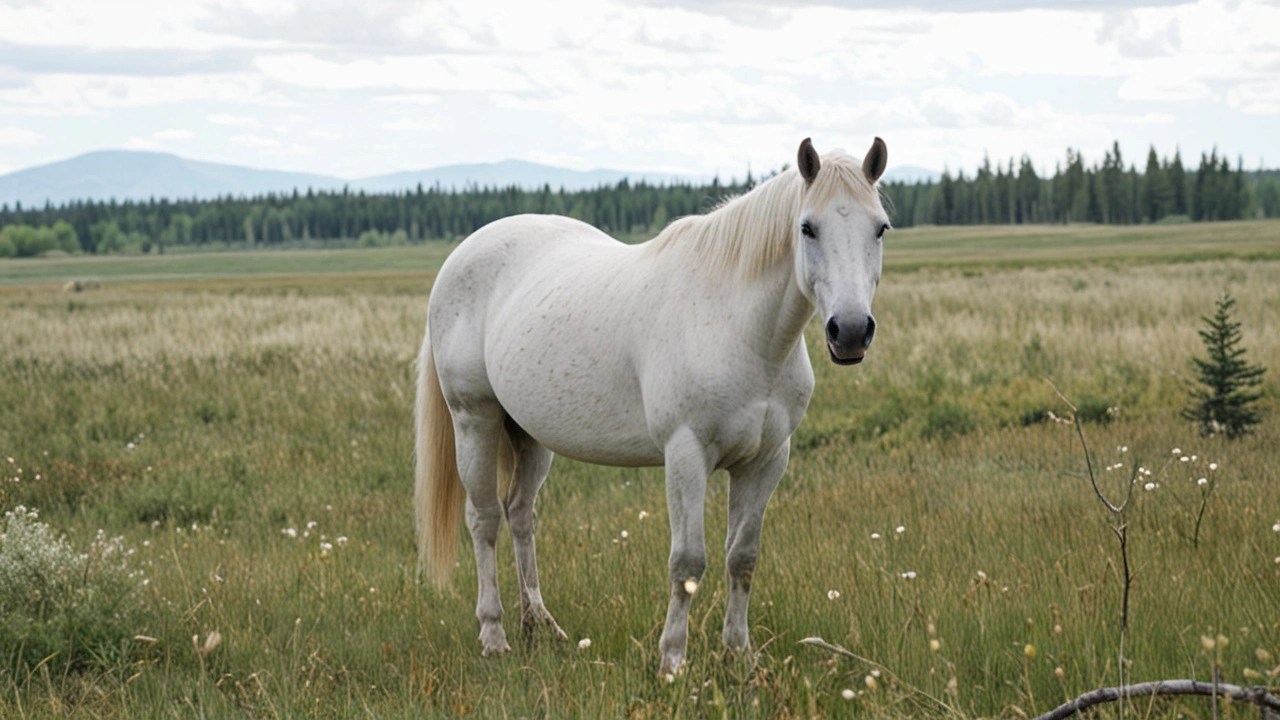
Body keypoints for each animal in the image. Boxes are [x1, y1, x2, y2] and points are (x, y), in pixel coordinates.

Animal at [419, 135, 890, 671]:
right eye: (807, 228)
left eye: (880, 228)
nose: (849, 331)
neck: (739, 327)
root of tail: (461, 254)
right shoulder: (686, 454)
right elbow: (687, 562)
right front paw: (672, 662)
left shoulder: (767, 460)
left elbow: (742, 557)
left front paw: (739, 655)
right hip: (475, 419)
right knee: (484, 520)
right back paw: (494, 634)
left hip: (531, 434)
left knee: (520, 514)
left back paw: (539, 624)